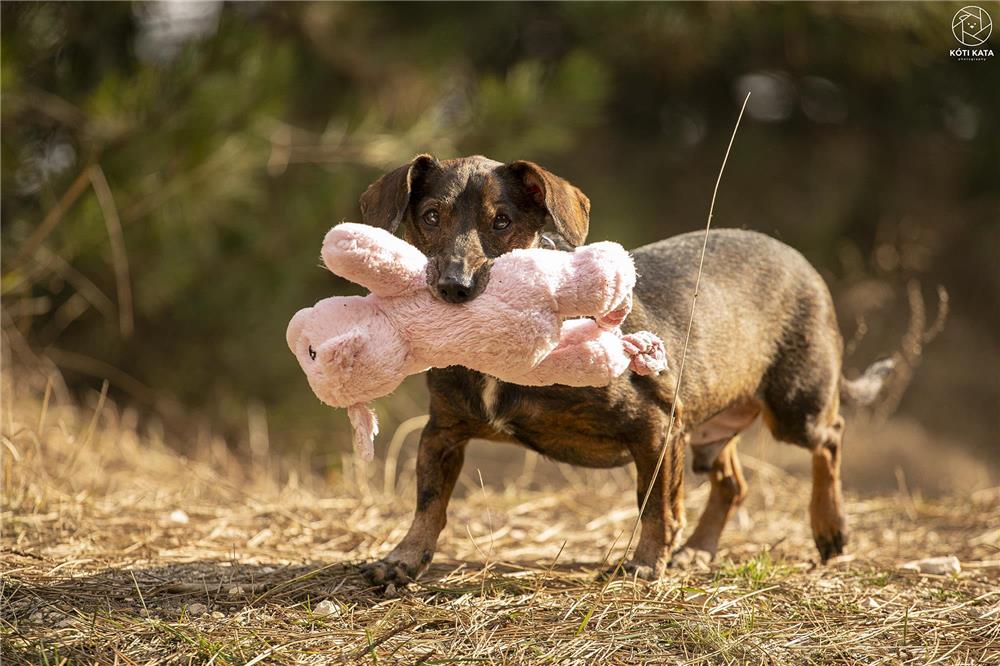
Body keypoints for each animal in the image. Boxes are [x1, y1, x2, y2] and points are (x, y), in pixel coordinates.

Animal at [354, 154, 892, 580]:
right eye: (431, 216)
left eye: (502, 221)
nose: (454, 286)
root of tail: (800, 259)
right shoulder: (443, 432)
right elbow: (429, 501)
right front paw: (403, 558)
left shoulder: (656, 426)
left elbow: (655, 506)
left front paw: (647, 563)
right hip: (706, 427)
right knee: (733, 484)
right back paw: (699, 550)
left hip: (795, 407)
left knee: (831, 436)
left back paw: (830, 528)